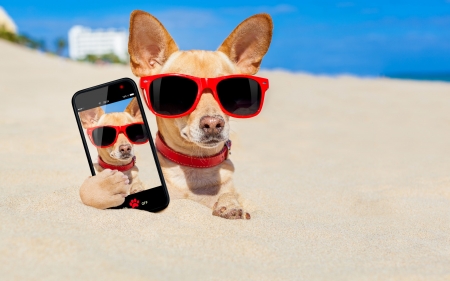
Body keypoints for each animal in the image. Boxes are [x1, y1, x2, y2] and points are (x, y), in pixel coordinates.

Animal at [79, 10, 272, 219]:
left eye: (232, 90)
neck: (194, 164)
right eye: (175, 92)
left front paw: (229, 205)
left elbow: (229, 194)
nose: (213, 123)